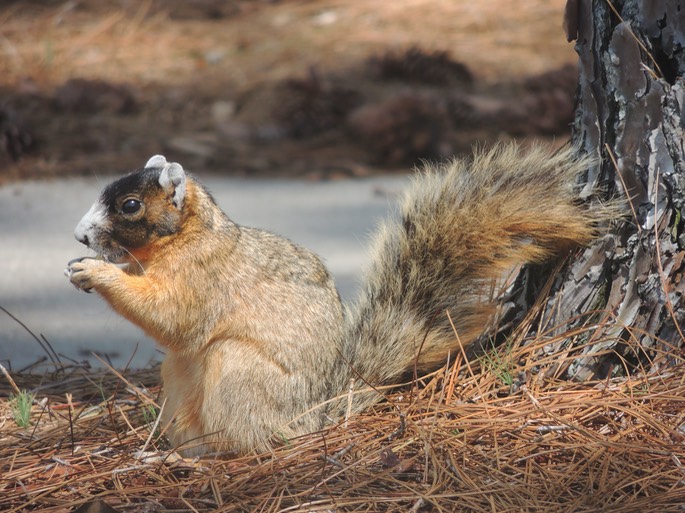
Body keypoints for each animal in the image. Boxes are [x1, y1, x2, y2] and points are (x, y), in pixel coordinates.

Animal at [64, 143, 600, 456]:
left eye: (130, 205)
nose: (80, 236)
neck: (184, 238)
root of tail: (317, 416)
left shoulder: (204, 277)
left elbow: (173, 316)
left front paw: (97, 272)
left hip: (239, 372)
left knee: (250, 442)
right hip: (177, 377)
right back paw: (171, 452)